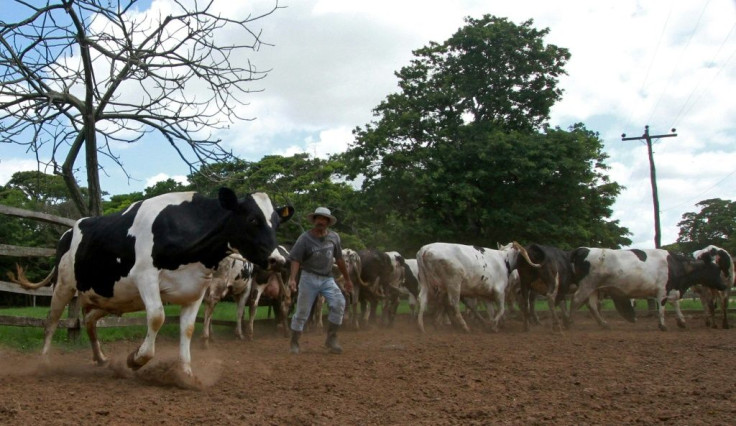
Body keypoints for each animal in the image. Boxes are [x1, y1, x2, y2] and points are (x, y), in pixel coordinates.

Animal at [12, 188, 294, 378]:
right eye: (253, 219)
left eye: (276, 222)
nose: (278, 260)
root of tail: (69, 229)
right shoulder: (145, 276)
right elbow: (157, 317)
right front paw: (136, 359)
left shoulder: (196, 288)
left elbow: (187, 329)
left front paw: (186, 373)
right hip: (63, 286)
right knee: (51, 322)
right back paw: (44, 362)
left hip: (111, 297)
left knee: (90, 320)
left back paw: (100, 358)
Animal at [568, 246, 724, 332]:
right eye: (716, 270)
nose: (723, 285)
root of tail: (584, 249)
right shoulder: (662, 290)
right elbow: (662, 308)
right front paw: (663, 325)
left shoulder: (671, 289)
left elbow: (676, 304)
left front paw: (682, 322)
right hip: (587, 285)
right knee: (576, 300)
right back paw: (568, 322)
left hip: (593, 288)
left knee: (592, 305)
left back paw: (603, 324)